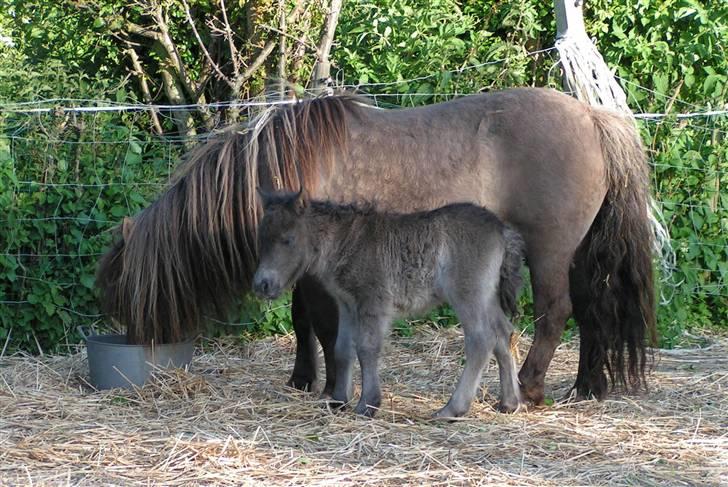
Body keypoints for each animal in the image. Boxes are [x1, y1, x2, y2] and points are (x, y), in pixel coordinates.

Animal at [253, 191, 528, 420]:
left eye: (287, 239)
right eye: (261, 238)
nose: (261, 285)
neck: (346, 242)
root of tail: (501, 230)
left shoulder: (373, 301)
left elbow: (367, 348)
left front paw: (368, 404)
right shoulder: (347, 304)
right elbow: (342, 349)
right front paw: (339, 400)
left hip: (467, 294)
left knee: (481, 340)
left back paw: (453, 408)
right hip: (487, 296)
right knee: (504, 333)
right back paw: (509, 402)